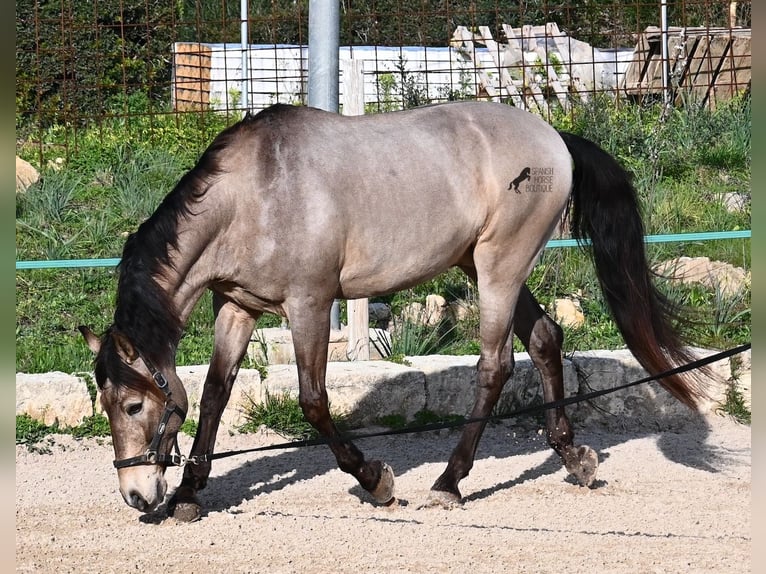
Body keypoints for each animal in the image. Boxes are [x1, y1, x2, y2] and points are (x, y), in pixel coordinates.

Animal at [78, 101, 708, 524]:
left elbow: (313, 401)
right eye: (106, 406)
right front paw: (189, 495)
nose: (136, 495)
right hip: (481, 266)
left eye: (133, 404)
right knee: (547, 338)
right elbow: (213, 395)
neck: (255, 193)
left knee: (495, 365)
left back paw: (450, 482)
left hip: (499, 269)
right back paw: (573, 457)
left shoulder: (309, 304)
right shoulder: (237, 306)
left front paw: (376, 481)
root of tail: (553, 135)